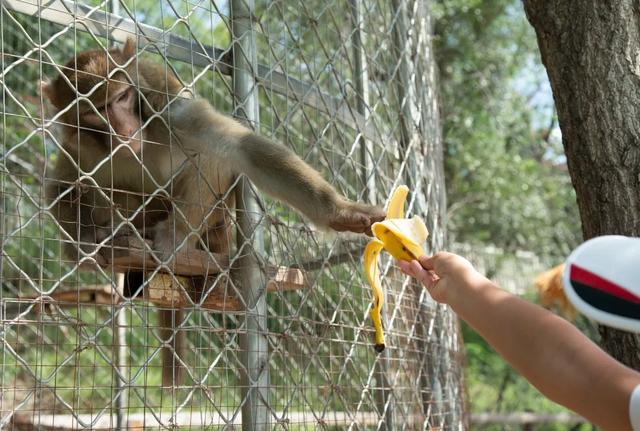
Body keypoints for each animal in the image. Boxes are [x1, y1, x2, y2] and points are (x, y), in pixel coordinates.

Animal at [45, 39, 384, 264]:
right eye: (95, 111)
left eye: (122, 97)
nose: (124, 129)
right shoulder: (80, 147)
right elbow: (64, 184)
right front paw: (82, 244)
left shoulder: (168, 112)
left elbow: (237, 148)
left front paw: (340, 210)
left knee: (211, 157)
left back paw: (172, 234)